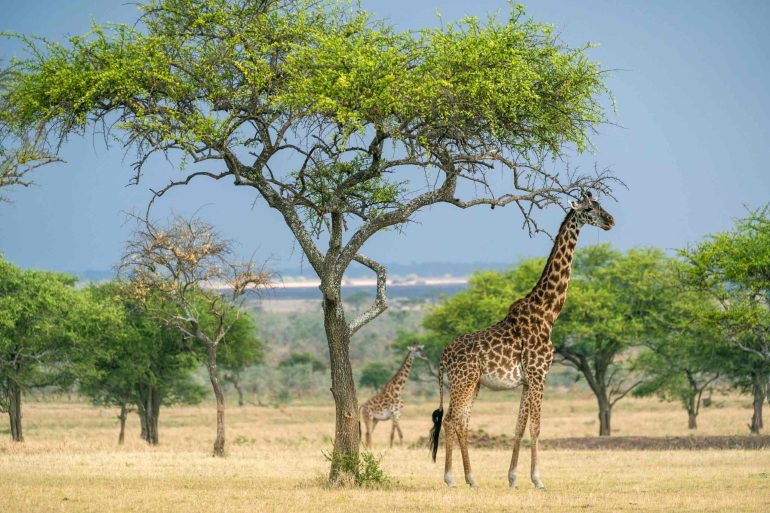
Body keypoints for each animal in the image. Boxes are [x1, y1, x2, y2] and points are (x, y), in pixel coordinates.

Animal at [429, 192, 615, 489]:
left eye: (600, 205)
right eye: (589, 209)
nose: (610, 220)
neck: (548, 312)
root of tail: (444, 355)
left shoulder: (528, 380)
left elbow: (519, 426)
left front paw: (513, 478)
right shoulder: (540, 374)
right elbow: (536, 427)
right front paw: (538, 479)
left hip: (472, 384)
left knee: (462, 422)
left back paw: (472, 478)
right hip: (463, 382)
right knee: (450, 420)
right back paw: (451, 479)